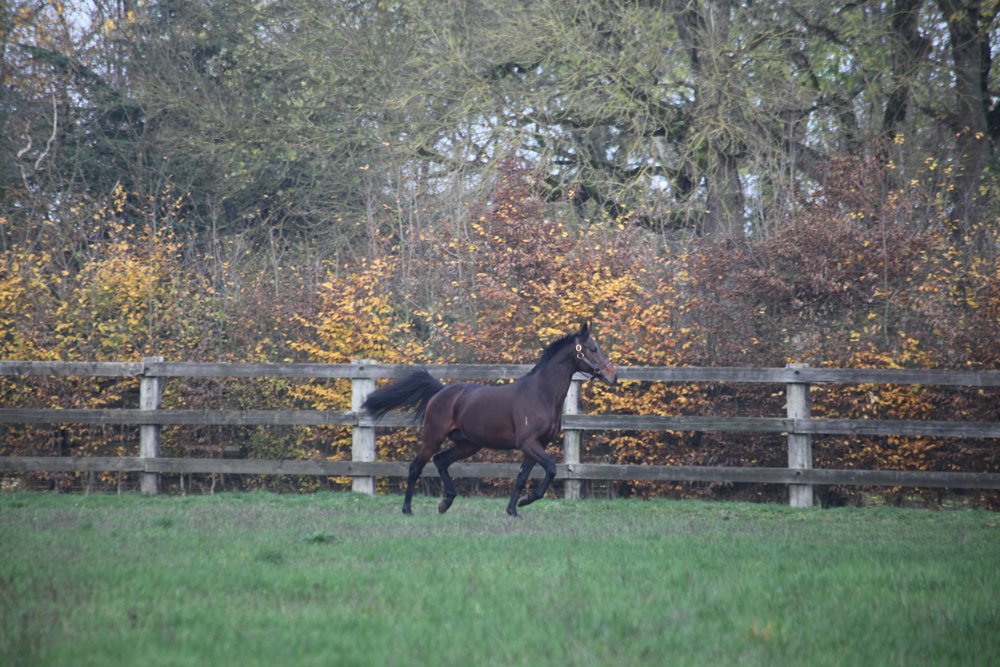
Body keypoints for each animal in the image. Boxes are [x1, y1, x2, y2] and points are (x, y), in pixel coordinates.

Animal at [363, 322, 616, 516]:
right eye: (593, 348)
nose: (612, 375)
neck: (540, 393)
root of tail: (440, 392)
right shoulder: (528, 443)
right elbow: (552, 469)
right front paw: (526, 500)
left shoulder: (536, 445)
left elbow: (522, 477)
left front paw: (513, 510)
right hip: (433, 438)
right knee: (416, 467)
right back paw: (408, 509)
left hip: (469, 444)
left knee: (441, 461)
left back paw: (445, 503)